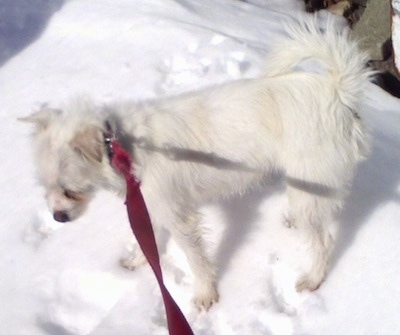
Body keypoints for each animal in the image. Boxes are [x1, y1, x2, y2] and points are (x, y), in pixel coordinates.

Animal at [21, 17, 372, 312]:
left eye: (70, 190)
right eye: (46, 188)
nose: (57, 217)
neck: (122, 145)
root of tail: (338, 92)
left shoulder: (180, 217)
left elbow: (196, 259)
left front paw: (205, 294)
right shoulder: (151, 205)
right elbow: (148, 240)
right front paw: (138, 262)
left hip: (312, 182)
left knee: (324, 241)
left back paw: (314, 277)